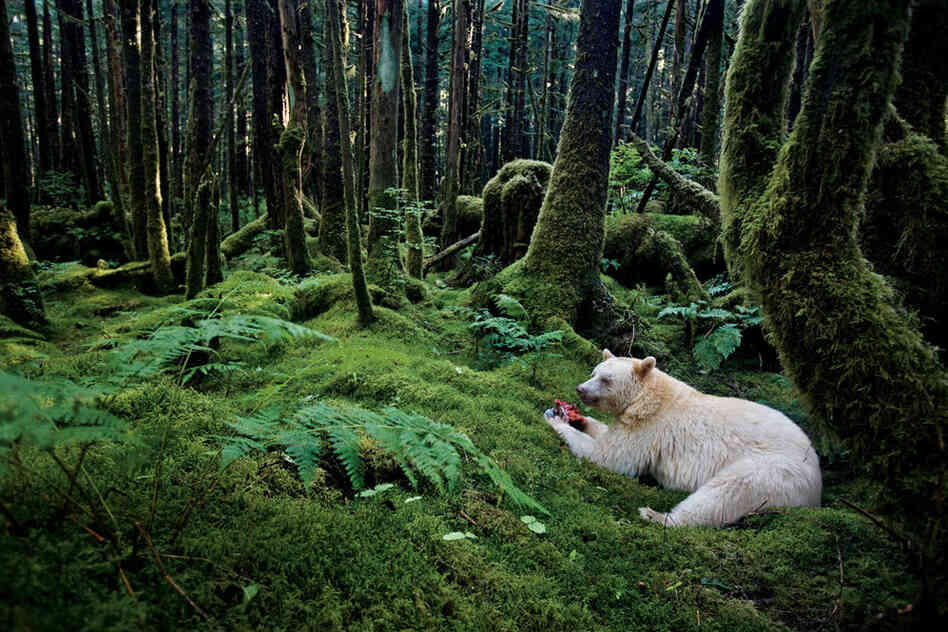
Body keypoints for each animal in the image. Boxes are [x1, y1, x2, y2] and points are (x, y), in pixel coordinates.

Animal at [544, 349, 822, 527]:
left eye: (605, 379)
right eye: (594, 372)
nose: (580, 389)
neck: (648, 397)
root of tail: (817, 484)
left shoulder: (651, 427)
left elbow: (612, 457)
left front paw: (556, 419)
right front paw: (577, 418)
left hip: (773, 471)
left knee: (726, 493)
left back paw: (656, 515)